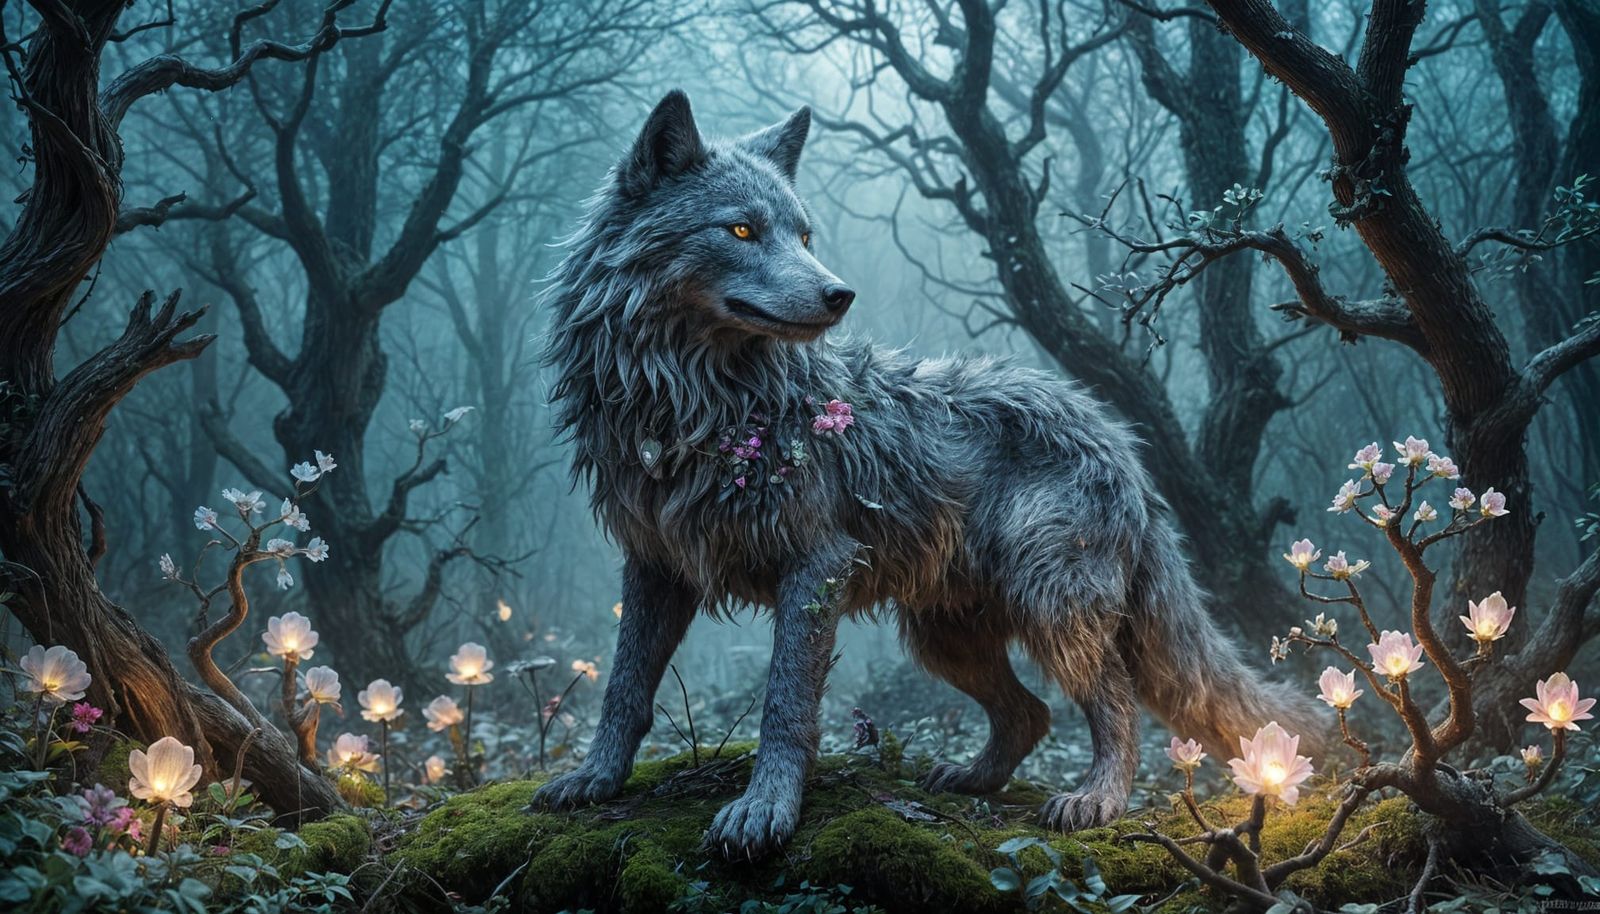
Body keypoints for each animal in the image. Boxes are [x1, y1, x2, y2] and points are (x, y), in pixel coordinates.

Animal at [533, 90, 1320, 858]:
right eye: (743, 231)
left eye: (804, 236)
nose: (839, 294)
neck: (693, 402)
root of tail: (1120, 439)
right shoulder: (654, 563)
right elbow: (624, 687)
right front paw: (594, 779)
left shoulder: (816, 565)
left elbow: (784, 703)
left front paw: (765, 809)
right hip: (945, 639)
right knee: (1031, 714)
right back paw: (973, 778)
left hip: (1050, 605)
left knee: (1115, 702)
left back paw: (1098, 799)